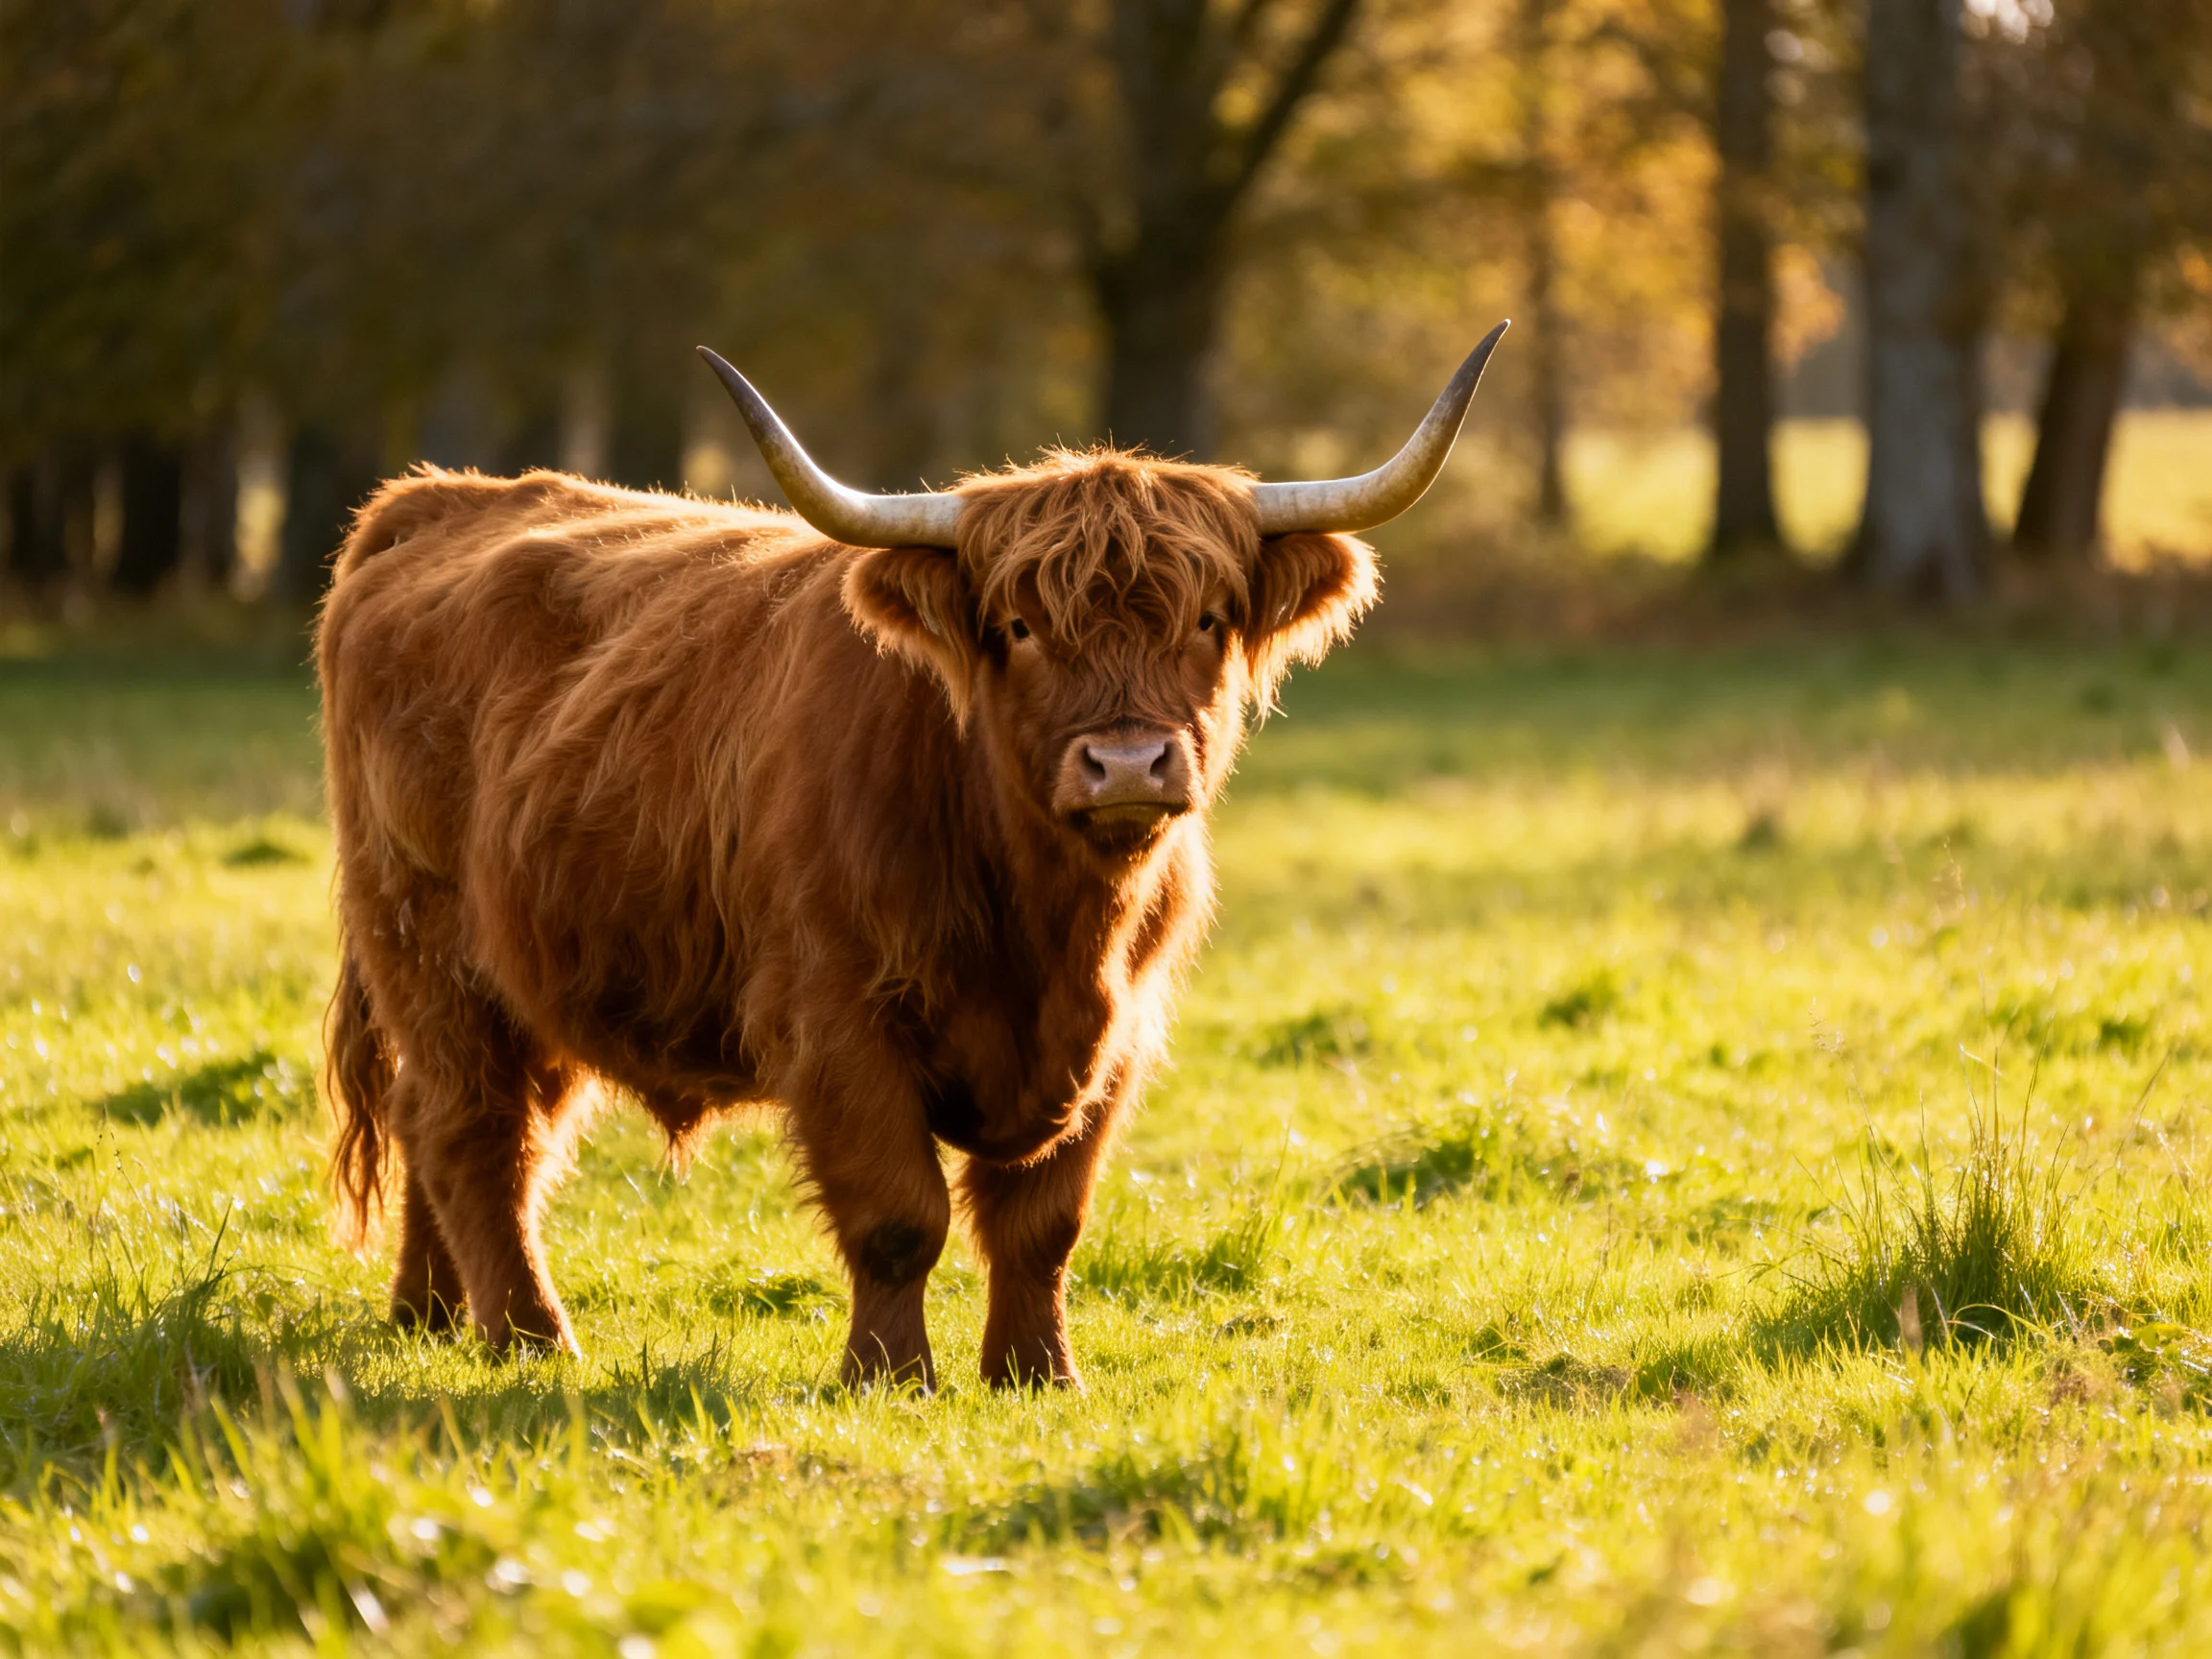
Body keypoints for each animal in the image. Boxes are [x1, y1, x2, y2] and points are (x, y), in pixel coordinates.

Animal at [317, 322, 1506, 1389]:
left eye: (1210, 618)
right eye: (1020, 628)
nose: (1127, 763)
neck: (1046, 925)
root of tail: (435, 498)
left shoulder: (1120, 1033)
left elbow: (1043, 1223)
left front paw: (1037, 1373)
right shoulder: (838, 1021)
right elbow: (900, 1216)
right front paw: (890, 1376)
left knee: (447, 1121)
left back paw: (432, 1315)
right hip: (429, 946)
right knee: (474, 1129)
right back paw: (529, 1337)